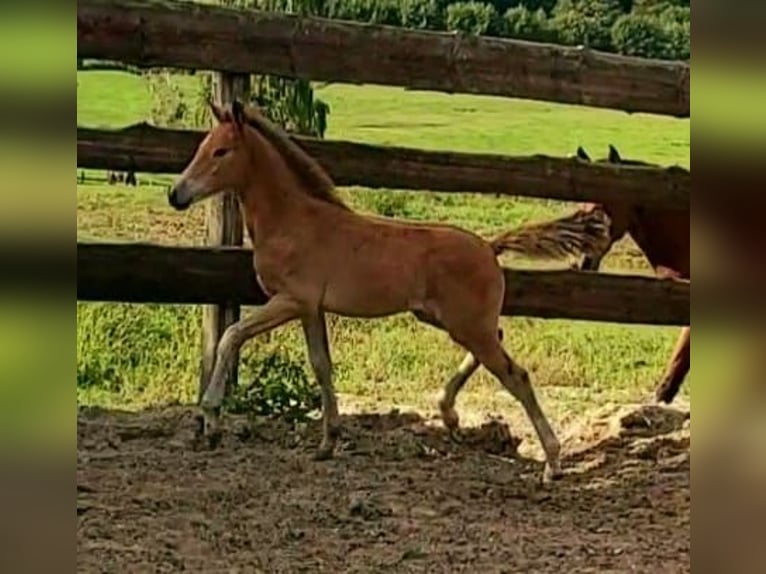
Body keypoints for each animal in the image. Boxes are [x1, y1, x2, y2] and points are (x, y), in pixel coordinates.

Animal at [168, 100, 612, 482]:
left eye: (221, 151)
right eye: (202, 147)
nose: (177, 195)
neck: (293, 221)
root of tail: (489, 246)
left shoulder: (291, 300)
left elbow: (231, 335)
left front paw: (211, 420)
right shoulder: (312, 309)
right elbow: (321, 365)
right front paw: (327, 443)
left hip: (465, 323)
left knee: (515, 374)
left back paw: (551, 462)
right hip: (447, 319)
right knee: (497, 345)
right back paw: (449, 414)